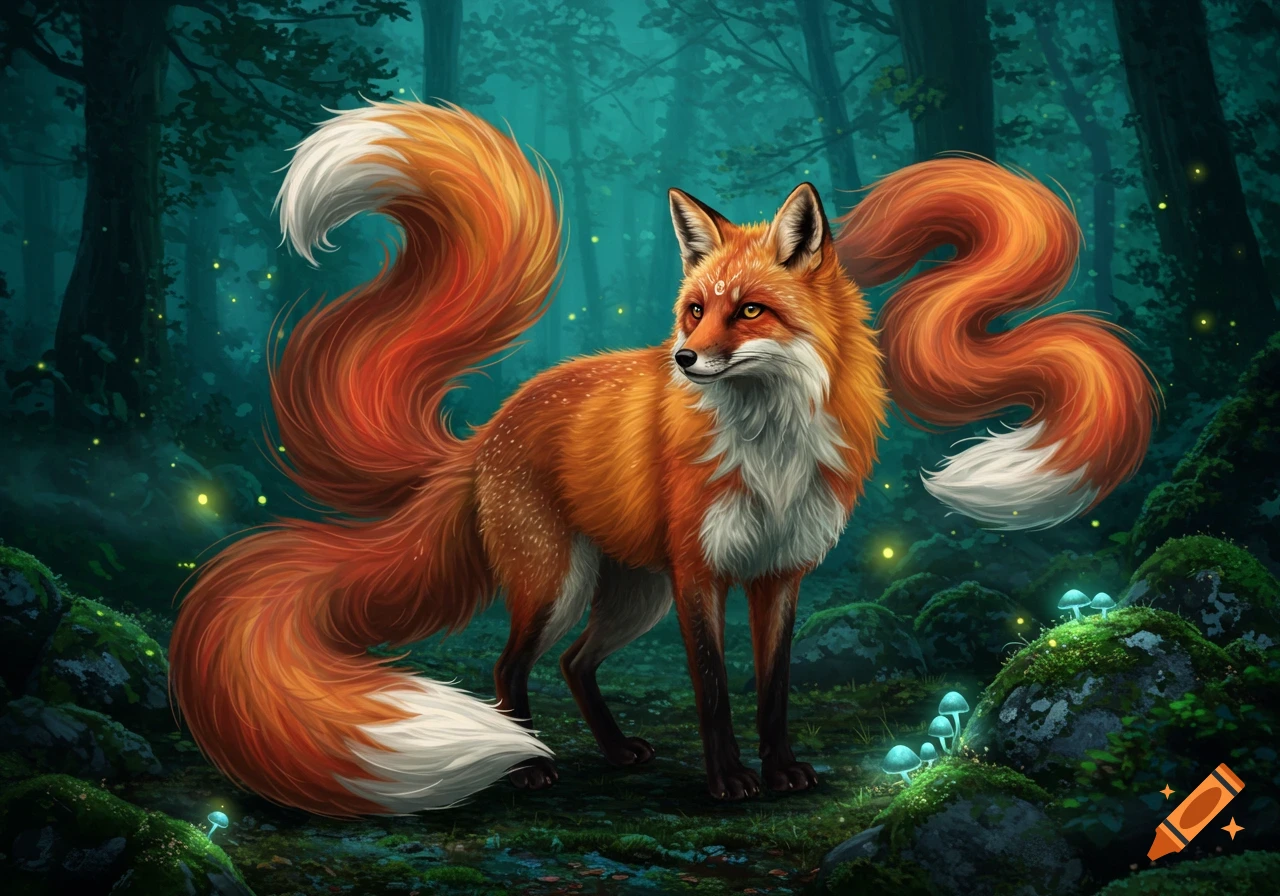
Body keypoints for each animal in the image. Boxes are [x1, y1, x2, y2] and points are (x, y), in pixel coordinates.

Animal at [169, 101, 1156, 816]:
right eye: (692, 310)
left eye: (748, 311)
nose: (682, 360)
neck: (769, 446)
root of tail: (488, 430)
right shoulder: (700, 571)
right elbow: (714, 690)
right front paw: (727, 785)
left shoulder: (779, 574)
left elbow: (772, 690)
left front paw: (780, 771)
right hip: (562, 583)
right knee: (509, 670)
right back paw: (527, 766)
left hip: (627, 594)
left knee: (576, 666)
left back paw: (611, 752)